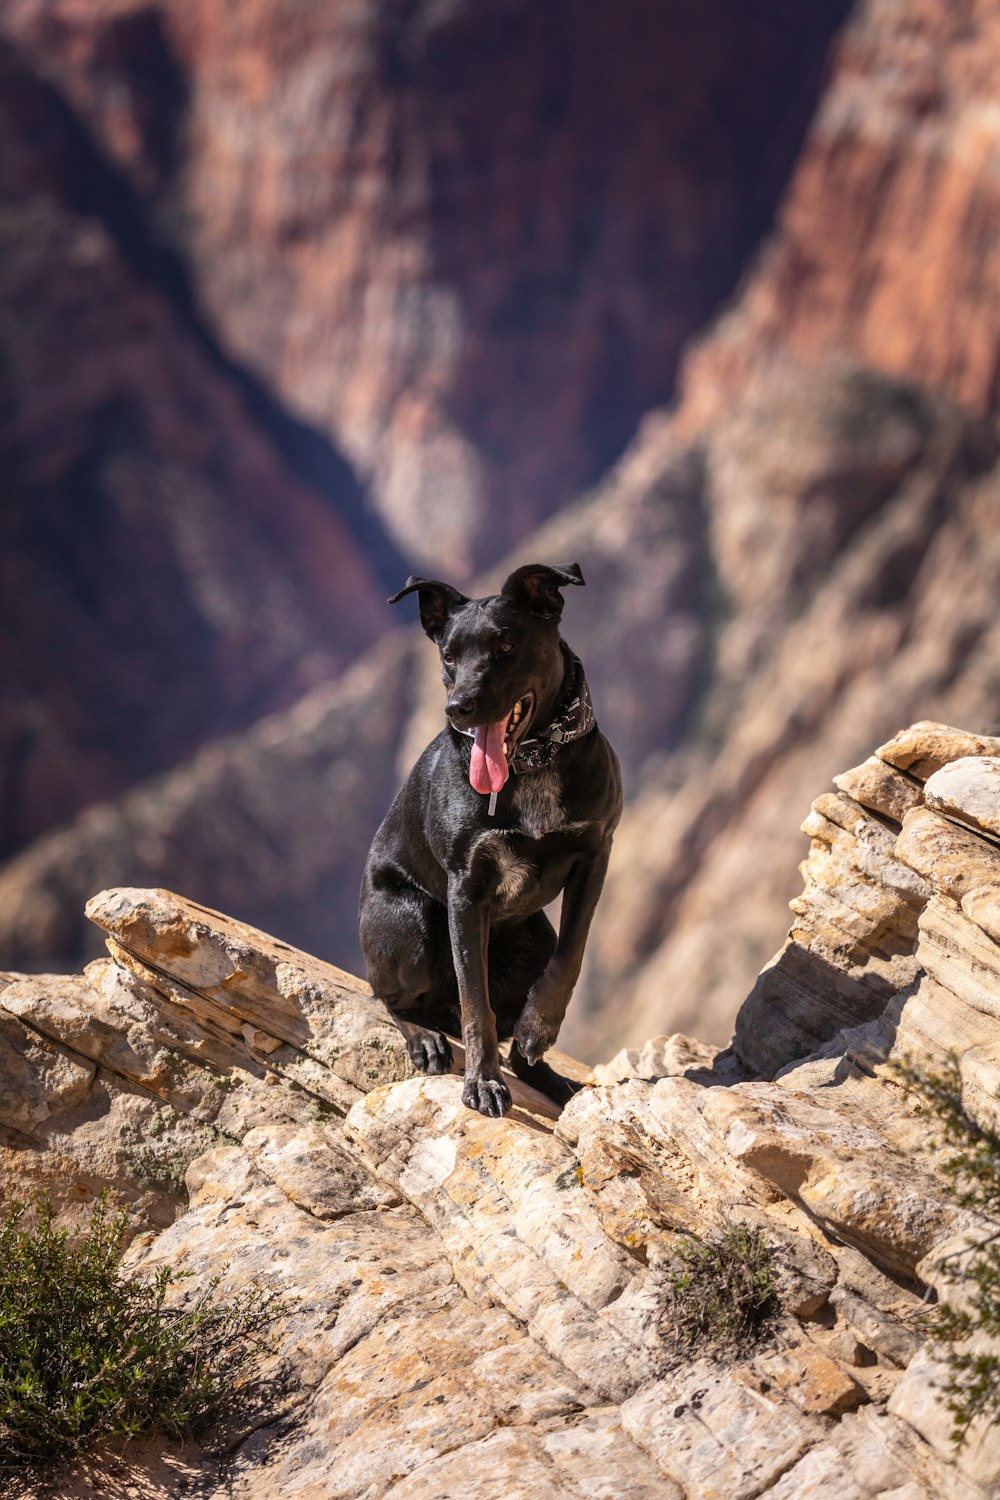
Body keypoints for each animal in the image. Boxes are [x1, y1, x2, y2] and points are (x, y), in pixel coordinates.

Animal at [359, 564, 620, 1116]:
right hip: (414, 923)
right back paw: (425, 1038)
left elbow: (571, 955)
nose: (459, 708)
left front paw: (539, 1027)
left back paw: (547, 1075)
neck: (534, 760)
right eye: (448, 655)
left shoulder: (595, 852)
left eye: (505, 644)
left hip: (532, 940)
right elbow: (475, 1003)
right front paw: (482, 1082)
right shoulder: (466, 888)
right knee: (392, 997)